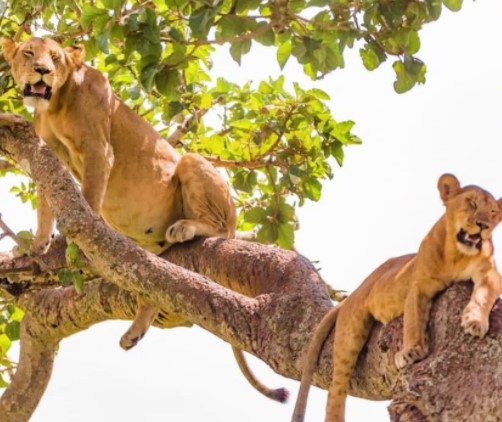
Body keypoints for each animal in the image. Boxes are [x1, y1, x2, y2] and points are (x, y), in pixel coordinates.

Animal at [0, 38, 286, 404]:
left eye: (55, 58)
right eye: (28, 53)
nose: (42, 71)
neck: (54, 106)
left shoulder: (99, 150)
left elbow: (87, 200)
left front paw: (68, 242)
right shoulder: (44, 151)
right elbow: (45, 205)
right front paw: (37, 246)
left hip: (193, 165)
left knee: (219, 227)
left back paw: (185, 229)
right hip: (143, 258)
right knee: (154, 286)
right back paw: (134, 331)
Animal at [290, 173, 502, 420]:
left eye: (493, 213)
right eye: (472, 203)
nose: (484, 226)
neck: (456, 254)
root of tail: (355, 293)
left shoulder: (488, 273)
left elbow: (483, 296)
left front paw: (475, 321)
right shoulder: (419, 286)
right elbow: (413, 321)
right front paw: (411, 352)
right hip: (350, 331)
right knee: (336, 387)